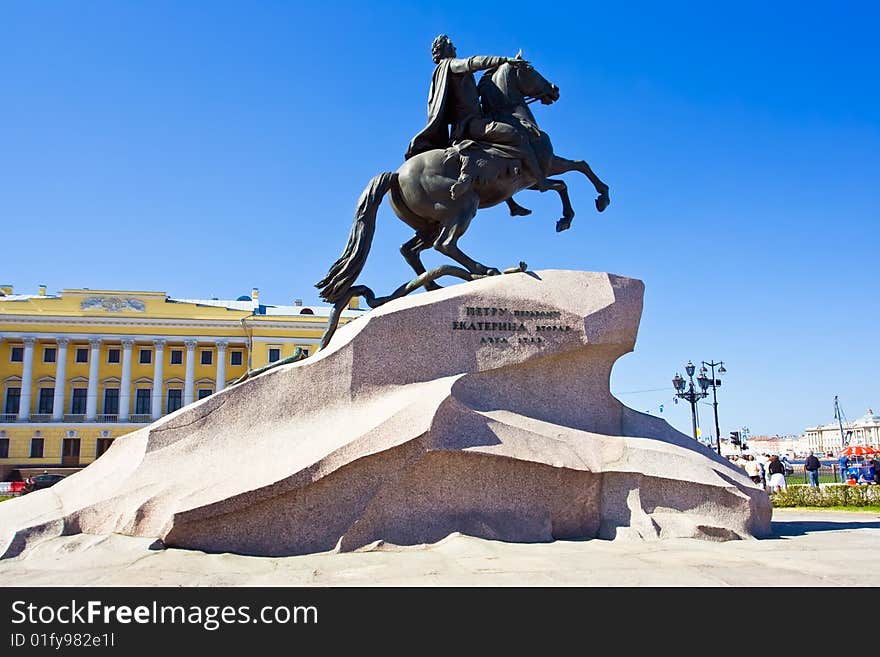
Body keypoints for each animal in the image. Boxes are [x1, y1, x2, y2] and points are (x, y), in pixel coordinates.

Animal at [316, 58, 612, 308]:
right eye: (529, 69)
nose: (554, 89)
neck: (517, 120)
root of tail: (397, 175)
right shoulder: (543, 169)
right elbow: (570, 176)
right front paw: (588, 206)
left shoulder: (534, 176)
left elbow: (575, 171)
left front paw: (574, 210)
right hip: (463, 206)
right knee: (445, 245)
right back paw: (483, 270)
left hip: (430, 224)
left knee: (410, 250)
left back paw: (433, 286)